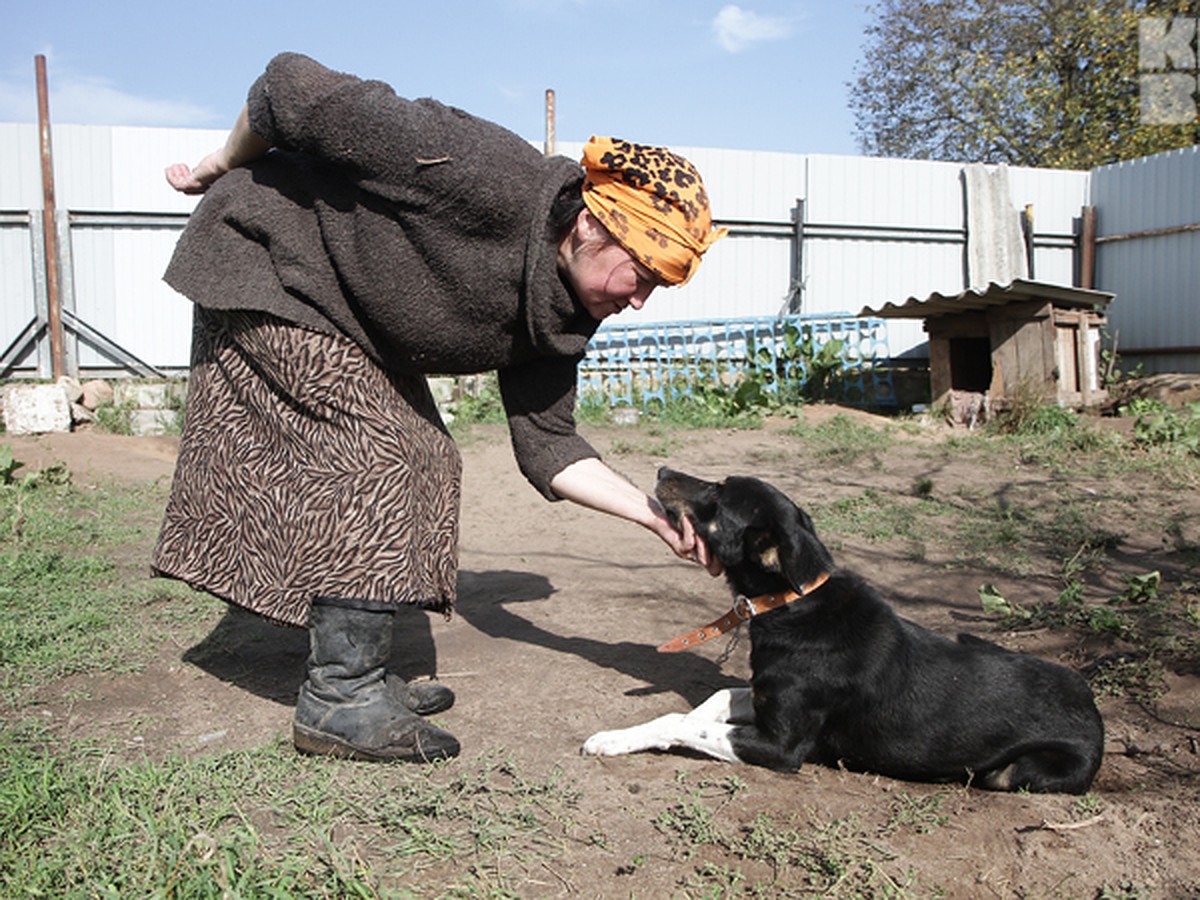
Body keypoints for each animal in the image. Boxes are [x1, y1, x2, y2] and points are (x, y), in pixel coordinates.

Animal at [583, 468, 1104, 792]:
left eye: (715, 494)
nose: (661, 469)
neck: (793, 605)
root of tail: (1093, 707)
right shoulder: (763, 695)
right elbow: (706, 704)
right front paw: (630, 734)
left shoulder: (782, 746)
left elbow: (683, 723)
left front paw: (617, 739)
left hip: (1022, 770)